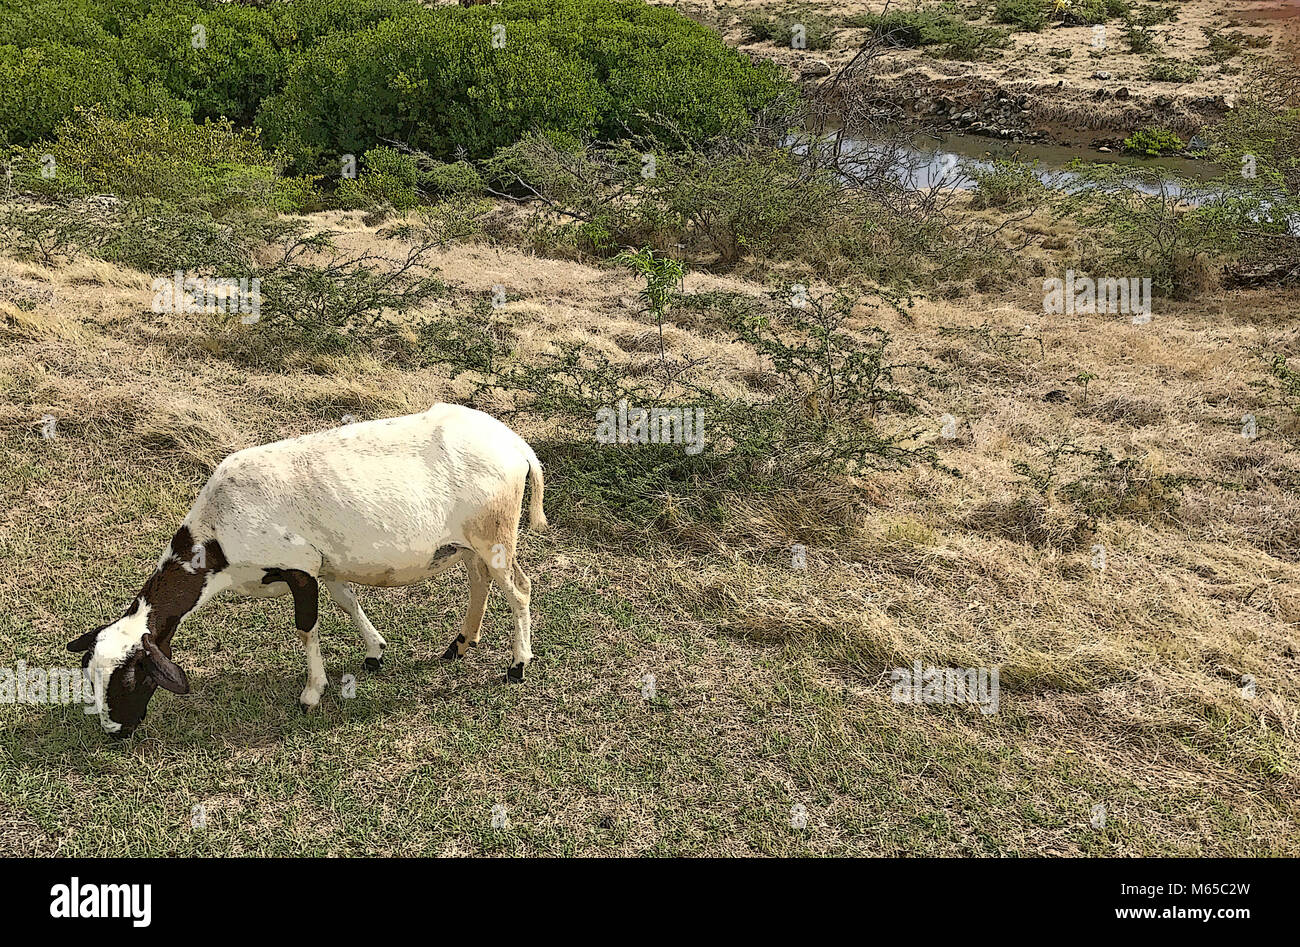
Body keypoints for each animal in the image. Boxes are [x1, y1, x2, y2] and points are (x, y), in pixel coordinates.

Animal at [68, 403, 546, 733]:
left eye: (129, 680)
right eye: (91, 677)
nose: (114, 732)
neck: (217, 537)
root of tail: (518, 447)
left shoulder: (298, 567)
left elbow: (306, 628)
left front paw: (312, 693)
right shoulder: (325, 565)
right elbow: (349, 603)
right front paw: (375, 651)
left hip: (495, 534)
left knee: (518, 589)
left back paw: (518, 665)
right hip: (467, 544)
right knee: (480, 584)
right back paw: (460, 645)